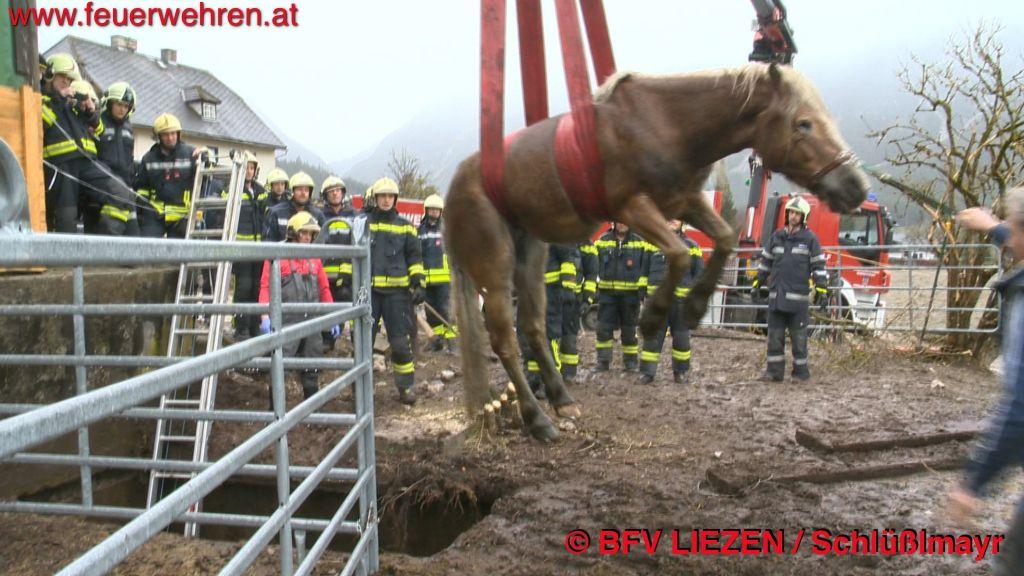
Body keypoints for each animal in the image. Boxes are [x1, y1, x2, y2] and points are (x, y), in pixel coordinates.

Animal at [444, 63, 869, 442]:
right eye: (803, 124)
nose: (856, 186)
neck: (666, 123)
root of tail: (455, 187)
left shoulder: (683, 201)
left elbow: (724, 239)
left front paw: (695, 307)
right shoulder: (634, 206)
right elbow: (679, 254)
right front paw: (652, 318)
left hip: (530, 253)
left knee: (531, 327)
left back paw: (562, 400)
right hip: (494, 266)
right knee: (504, 339)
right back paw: (538, 420)